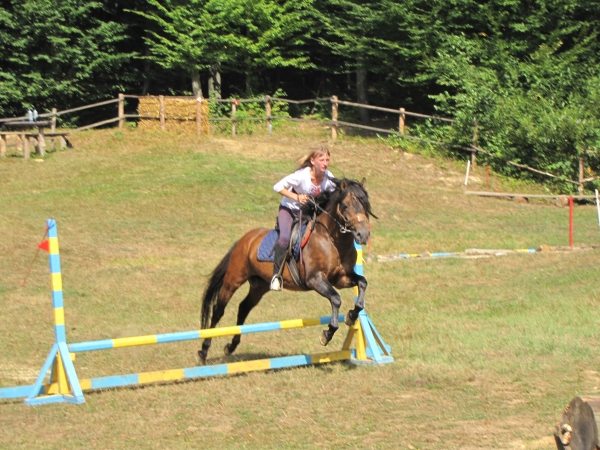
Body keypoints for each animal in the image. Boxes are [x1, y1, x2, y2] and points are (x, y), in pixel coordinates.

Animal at [197, 178, 376, 364]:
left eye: (365, 205)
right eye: (346, 206)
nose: (363, 235)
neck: (332, 239)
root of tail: (245, 239)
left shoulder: (341, 278)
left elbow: (362, 283)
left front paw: (352, 315)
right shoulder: (315, 279)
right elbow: (336, 299)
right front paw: (327, 334)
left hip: (260, 285)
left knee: (244, 307)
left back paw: (231, 346)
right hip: (234, 279)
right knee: (219, 309)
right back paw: (203, 351)